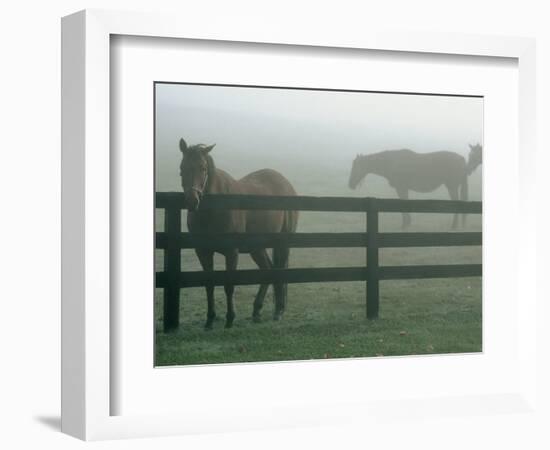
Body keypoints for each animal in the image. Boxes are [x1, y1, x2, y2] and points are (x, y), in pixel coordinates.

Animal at [179, 139, 300, 328]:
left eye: (203, 168)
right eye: (182, 167)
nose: (192, 201)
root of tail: (286, 184)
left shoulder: (231, 251)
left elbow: (229, 285)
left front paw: (229, 319)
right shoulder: (203, 251)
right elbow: (209, 284)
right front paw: (209, 320)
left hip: (282, 244)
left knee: (278, 270)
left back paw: (278, 311)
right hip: (257, 247)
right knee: (267, 269)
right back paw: (257, 311)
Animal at [354, 145, 484, 227]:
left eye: (356, 166)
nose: (351, 184)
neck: (392, 162)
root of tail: (462, 161)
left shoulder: (401, 188)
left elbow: (403, 203)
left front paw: (405, 224)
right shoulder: (403, 189)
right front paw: (407, 223)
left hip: (452, 187)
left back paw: (454, 225)